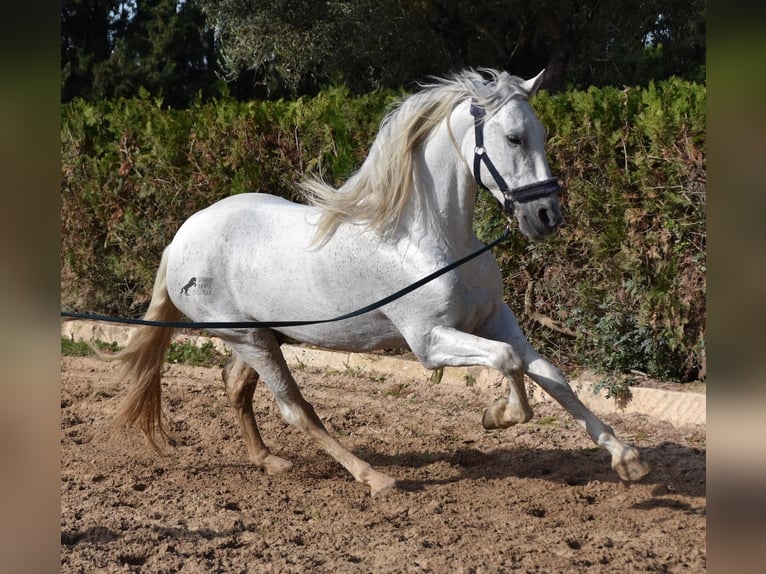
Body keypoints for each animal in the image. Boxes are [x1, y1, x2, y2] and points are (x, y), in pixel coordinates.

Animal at [114, 70, 652, 498]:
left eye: (540, 133)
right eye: (515, 138)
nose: (545, 216)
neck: (426, 240)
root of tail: (182, 237)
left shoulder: (496, 320)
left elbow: (550, 374)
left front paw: (626, 458)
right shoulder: (430, 343)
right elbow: (508, 362)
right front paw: (498, 415)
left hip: (262, 336)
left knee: (235, 385)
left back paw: (269, 461)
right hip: (248, 338)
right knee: (295, 409)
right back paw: (374, 478)